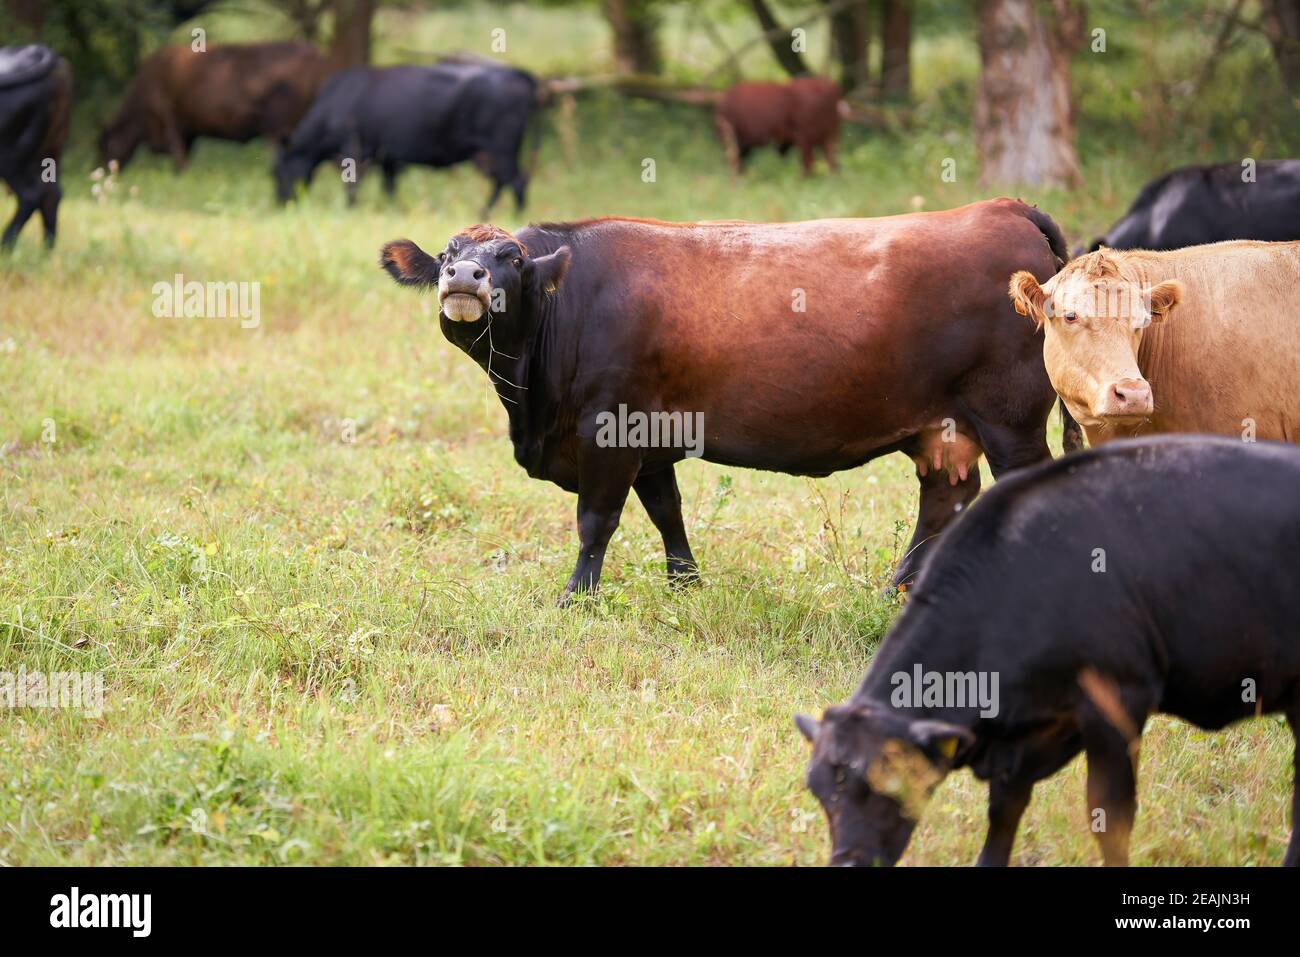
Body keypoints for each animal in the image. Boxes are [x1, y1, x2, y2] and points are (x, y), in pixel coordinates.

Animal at [0, 44, 71, 251]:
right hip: (50, 150)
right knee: (52, 194)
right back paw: (46, 249)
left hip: (10, 155)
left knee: (30, 195)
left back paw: (6, 245)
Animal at [98, 42, 326, 171]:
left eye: (105, 146)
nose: (98, 170)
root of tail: (314, 54)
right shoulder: (186, 132)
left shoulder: (170, 123)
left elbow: (179, 159)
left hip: (276, 131)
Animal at [275, 62, 538, 213]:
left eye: (278, 174)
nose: (281, 204)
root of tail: (513, 72)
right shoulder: (387, 157)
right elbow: (389, 187)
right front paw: (393, 210)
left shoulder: (353, 148)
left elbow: (352, 184)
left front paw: (351, 208)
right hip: (490, 153)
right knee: (503, 182)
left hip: (501, 149)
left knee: (515, 182)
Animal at [378, 199, 1080, 603]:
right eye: (447, 253)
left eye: (511, 258)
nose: (463, 276)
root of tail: (1001, 206)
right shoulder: (650, 439)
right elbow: (667, 511)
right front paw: (686, 586)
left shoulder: (608, 429)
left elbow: (596, 521)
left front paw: (575, 601)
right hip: (945, 428)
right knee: (943, 500)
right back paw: (894, 593)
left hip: (1010, 419)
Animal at [796, 435, 1300, 867]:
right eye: (818, 791)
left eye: (883, 780)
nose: (848, 861)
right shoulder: (1028, 737)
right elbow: (1003, 814)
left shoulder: (1118, 701)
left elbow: (1110, 820)